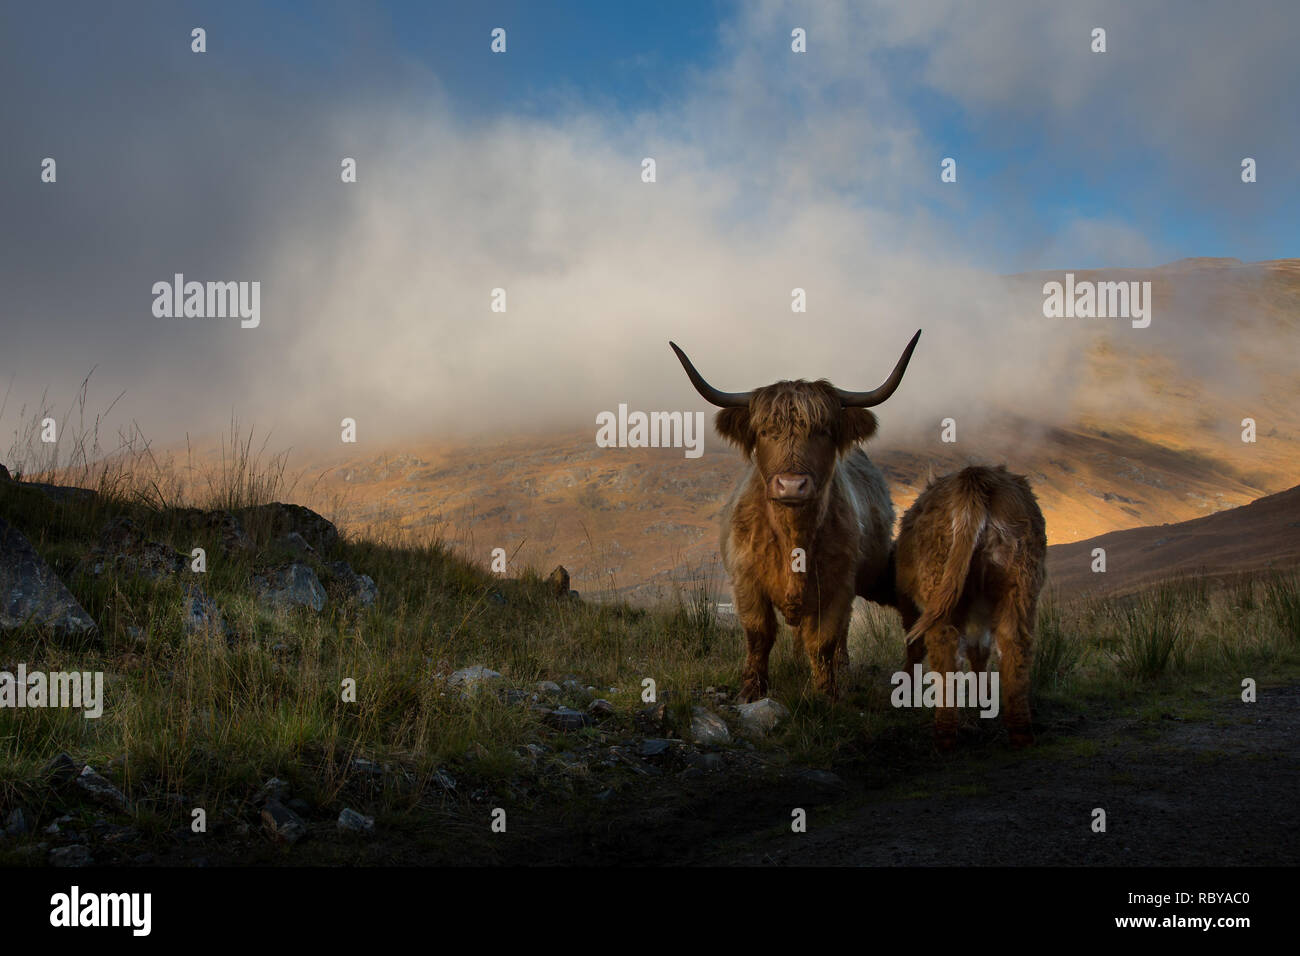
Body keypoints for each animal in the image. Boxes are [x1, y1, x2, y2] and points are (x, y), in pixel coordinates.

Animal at [669, 330, 921, 702]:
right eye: (763, 431)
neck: (793, 537)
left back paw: (841, 671)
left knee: (839, 635)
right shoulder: (746, 580)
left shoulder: (838, 586)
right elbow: (759, 635)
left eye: (824, 431)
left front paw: (826, 693)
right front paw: (752, 691)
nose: (791, 485)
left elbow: (824, 640)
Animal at [891, 465, 1047, 748]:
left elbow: (915, 646)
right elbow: (980, 650)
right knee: (1014, 642)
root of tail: (975, 475)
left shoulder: (908, 602)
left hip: (938, 579)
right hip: (1020, 582)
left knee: (944, 646)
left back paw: (944, 735)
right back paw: (1020, 731)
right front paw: (982, 697)